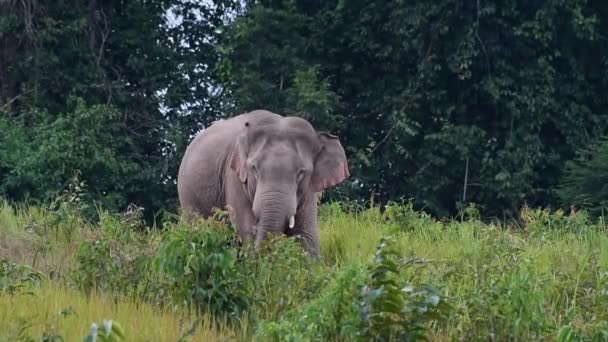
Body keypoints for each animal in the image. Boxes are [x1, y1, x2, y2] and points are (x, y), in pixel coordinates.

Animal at [176, 109, 350, 256]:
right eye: (254, 169)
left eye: (301, 173)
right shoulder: (234, 178)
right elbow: (245, 228)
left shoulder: (309, 189)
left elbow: (306, 234)